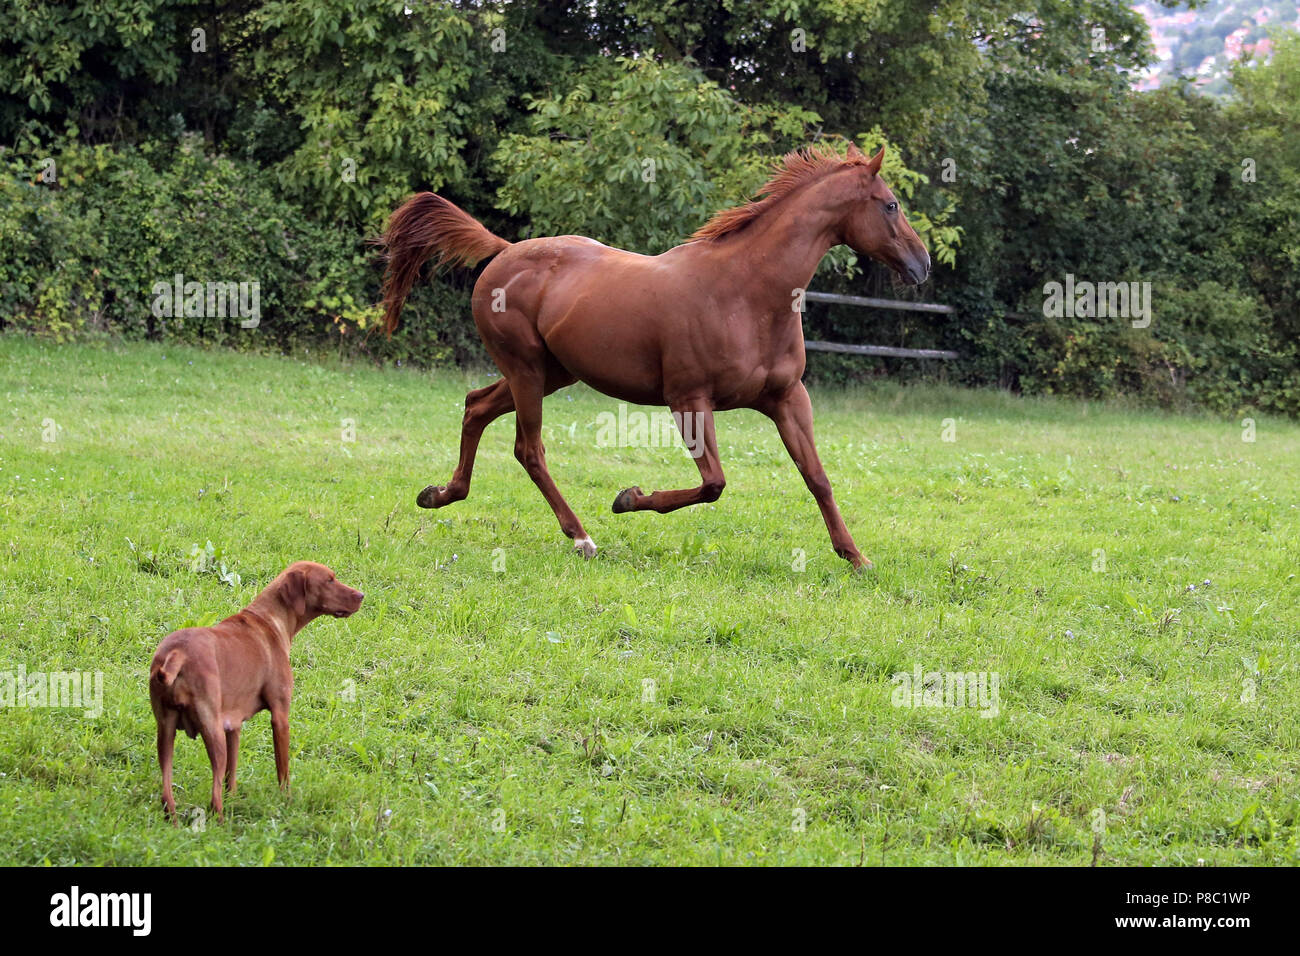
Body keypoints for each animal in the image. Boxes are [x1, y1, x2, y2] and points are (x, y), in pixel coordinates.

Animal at [149, 561, 364, 822]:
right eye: (330, 580)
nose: (361, 595)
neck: (269, 619)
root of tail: (177, 654)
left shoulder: (232, 726)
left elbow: (231, 774)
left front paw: (235, 797)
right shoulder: (280, 717)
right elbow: (283, 770)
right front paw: (286, 801)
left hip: (165, 732)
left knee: (167, 791)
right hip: (211, 732)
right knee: (214, 795)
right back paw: (220, 822)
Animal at [377, 141, 935, 567]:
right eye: (890, 204)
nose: (922, 264)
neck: (749, 293)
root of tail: (503, 251)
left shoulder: (787, 398)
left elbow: (817, 477)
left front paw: (856, 557)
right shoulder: (688, 399)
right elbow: (713, 483)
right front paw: (628, 499)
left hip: (552, 372)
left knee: (476, 406)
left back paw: (439, 495)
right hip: (527, 370)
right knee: (528, 449)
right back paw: (581, 537)